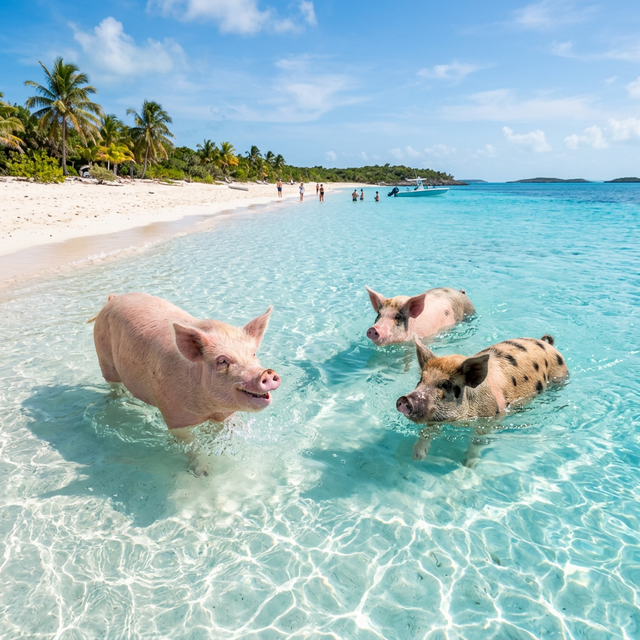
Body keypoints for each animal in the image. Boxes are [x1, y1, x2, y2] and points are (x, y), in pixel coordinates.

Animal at [92, 293, 281, 431]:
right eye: (222, 361)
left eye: (253, 353)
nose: (267, 372)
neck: (209, 408)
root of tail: (112, 299)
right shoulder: (174, 418)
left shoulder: (223, 415)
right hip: (103, 356)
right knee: (113, 385)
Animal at [396, 335, 569, 461]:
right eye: (421, 379)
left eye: (445, 385)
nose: (404, 400)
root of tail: (546, 343)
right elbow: (427, 430)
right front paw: (417, 457)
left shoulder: (488, 421)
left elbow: (477, 443)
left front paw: (467, 464)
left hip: (559, 375)